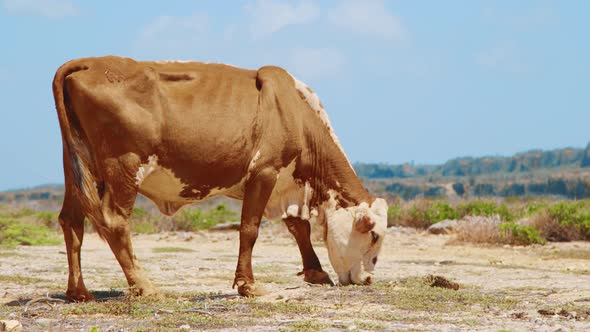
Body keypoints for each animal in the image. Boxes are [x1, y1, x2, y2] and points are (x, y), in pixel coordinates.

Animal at [53, 55, 390, 300]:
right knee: (114, 221)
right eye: (374, 234)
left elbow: (299, 228)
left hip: (78, 167)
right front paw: (248, 285)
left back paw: (78, 292)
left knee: (71, 220)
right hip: (124, 166)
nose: (367, 279)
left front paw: (316, 273)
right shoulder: (264, 172)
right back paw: (144, 285)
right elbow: (250, 230)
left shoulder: (287, 186)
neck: (295, 111)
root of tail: (90, 61)